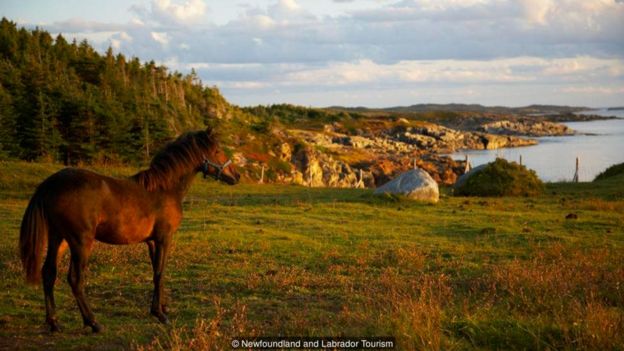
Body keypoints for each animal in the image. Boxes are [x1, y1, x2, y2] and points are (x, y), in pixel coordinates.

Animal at [19, 129, 239, 332]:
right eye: (217, 150)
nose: (236, 175)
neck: (164, 189)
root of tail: (50, 184)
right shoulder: (164, 238)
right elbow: (160, 272)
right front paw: (160, 315)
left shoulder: (152, 242)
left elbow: (157, 272)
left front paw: (161, 308)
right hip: (80, 242)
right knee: (75, 279)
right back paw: (93, 322)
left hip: (58, 238)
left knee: (48, 273)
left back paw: (54, 323)